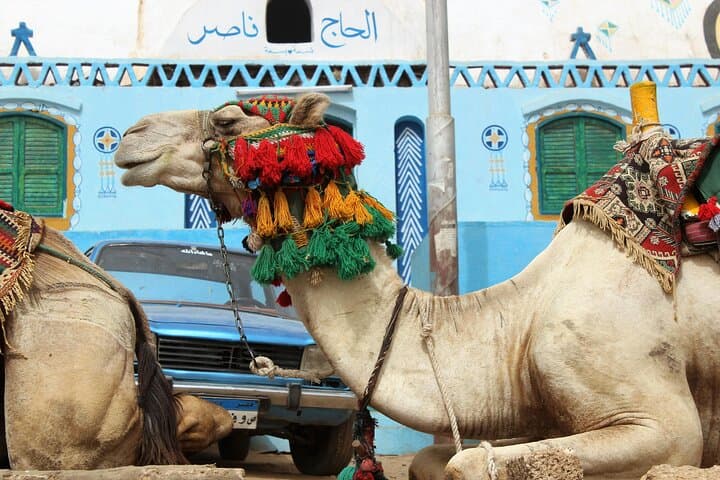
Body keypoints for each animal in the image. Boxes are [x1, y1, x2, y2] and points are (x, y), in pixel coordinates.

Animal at [114, 92, 720, 480]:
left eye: (227, 120)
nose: (131, 136)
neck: (516, 323)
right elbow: (435, 460)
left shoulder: (660, 420)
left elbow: (467, 463)